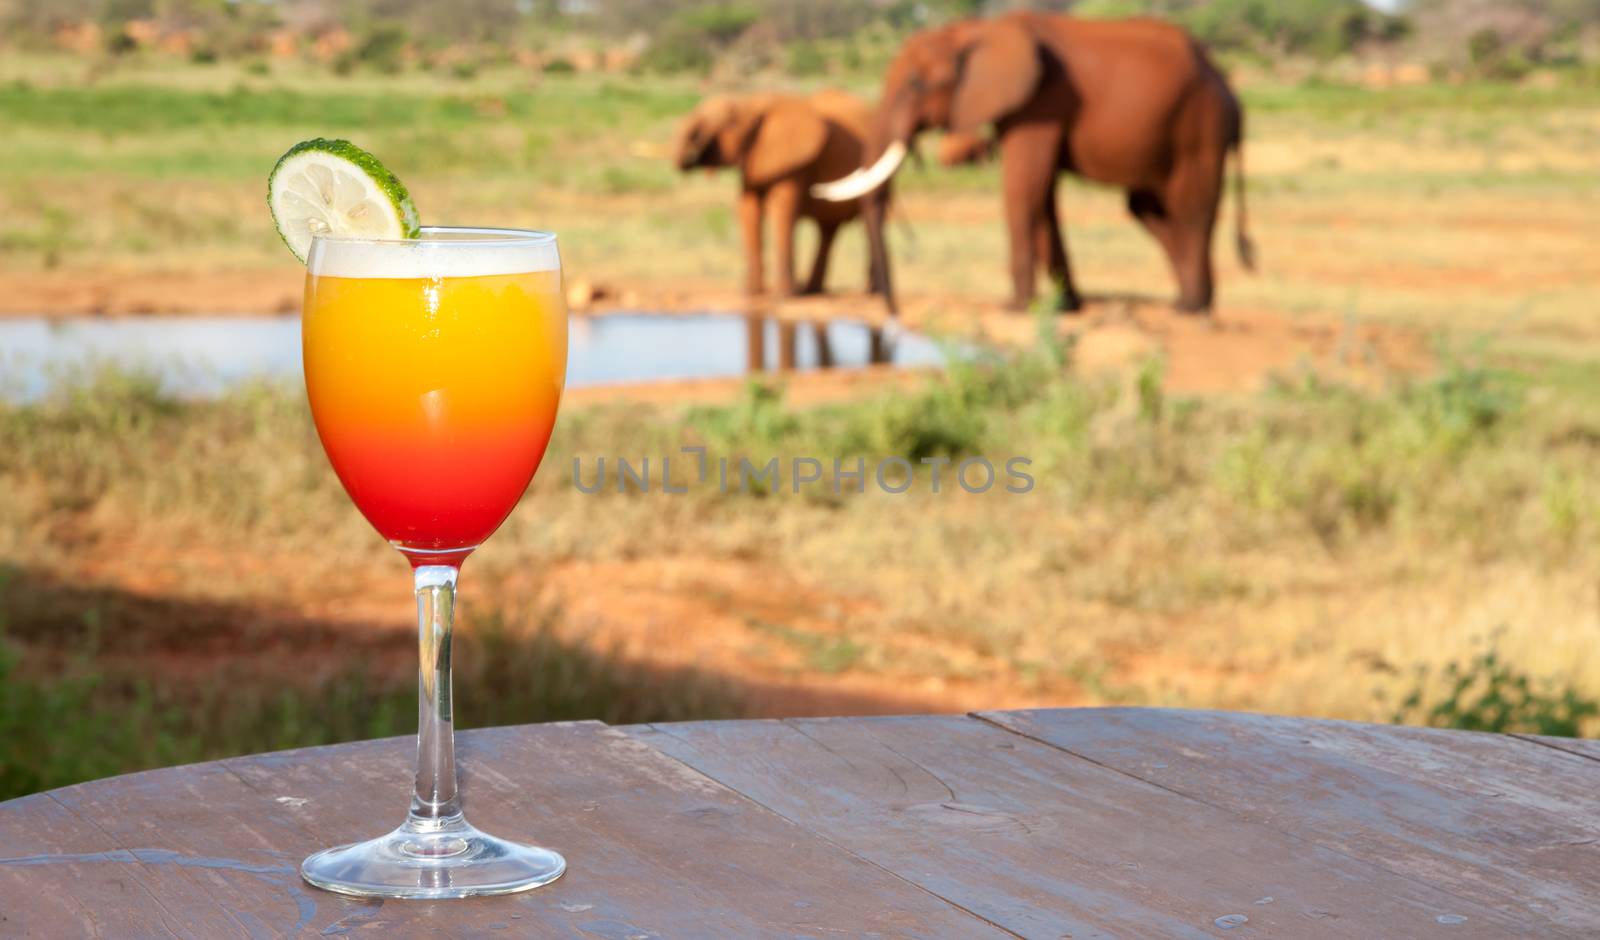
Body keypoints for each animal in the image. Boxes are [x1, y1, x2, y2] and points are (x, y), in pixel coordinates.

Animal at [672, 87, 896, 311]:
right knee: (828, 229)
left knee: (867, 221)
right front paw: (752, 294)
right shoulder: (757, 158)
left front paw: (783, 297)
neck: (755, 101)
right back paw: (812, 290)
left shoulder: (795, 163)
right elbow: (748, 209)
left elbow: (781, 210)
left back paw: (871, 292)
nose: (693, 154)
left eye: (730, 122)